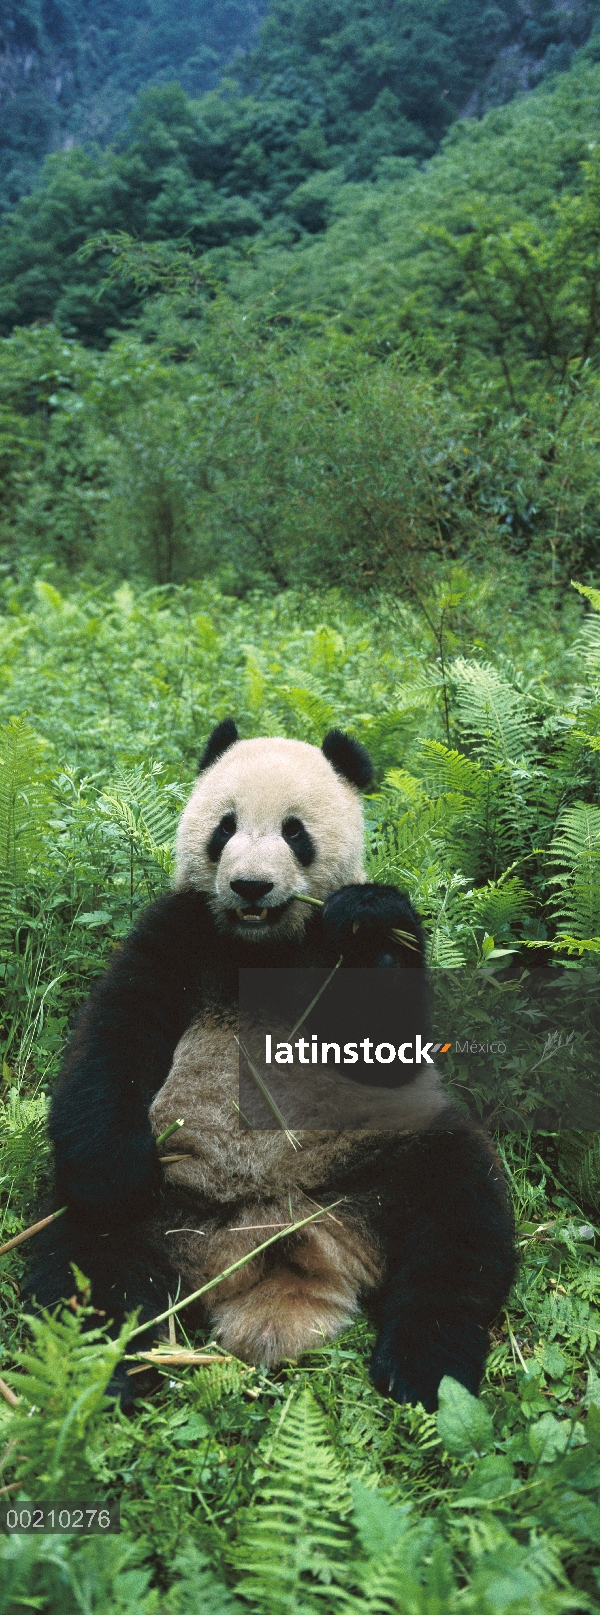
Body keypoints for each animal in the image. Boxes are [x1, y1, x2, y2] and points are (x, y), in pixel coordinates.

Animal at [29, 726, 516, 1408]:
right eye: (224, 827)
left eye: (295, 832)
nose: (251, 886)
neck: (262, 943)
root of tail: (274, 1241)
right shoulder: (176, 931)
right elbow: (114, 1039)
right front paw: (115, 1175)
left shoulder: (329, 953)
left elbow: (388, 1041)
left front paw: (368, 915)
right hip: (171, 1198)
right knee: (86, 1256)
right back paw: (112, 1371)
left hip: (380, 1157)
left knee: (460, 1217)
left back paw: (425, 1370)